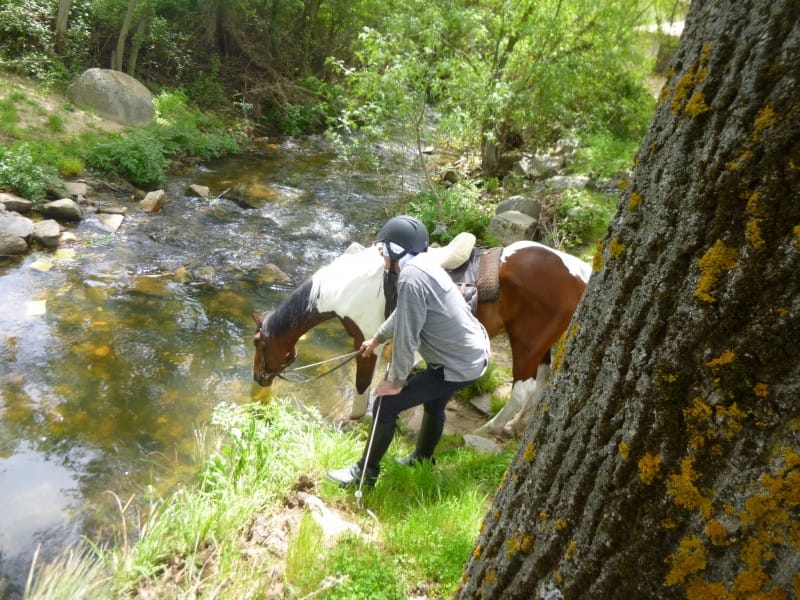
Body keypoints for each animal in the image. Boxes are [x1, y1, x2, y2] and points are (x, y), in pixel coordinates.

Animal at [253, 237, 592, 438]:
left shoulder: (366, 343)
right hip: (542, 345)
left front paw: (354, 419)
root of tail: (580, 275)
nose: (258, 378)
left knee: (524, 389)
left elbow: (363, 385)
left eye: (258, 343)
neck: (349, 288)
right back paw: (516, 426)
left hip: (527, 343)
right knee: (543, 383)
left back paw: (489, 429)